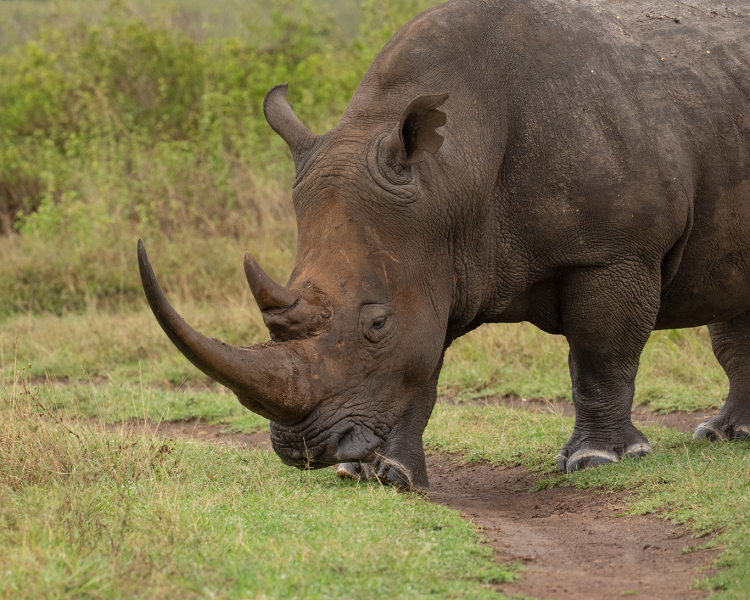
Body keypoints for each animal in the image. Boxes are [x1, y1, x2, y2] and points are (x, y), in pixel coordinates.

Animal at [138, 0, 750, 490]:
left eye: (375, 323)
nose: (305, 451)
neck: (451, 175)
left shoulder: (614, 250)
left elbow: (601, 354)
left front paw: (600, 460)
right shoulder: (430, 256)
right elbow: (420, 367)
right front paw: (384, 477)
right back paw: (727, 436)